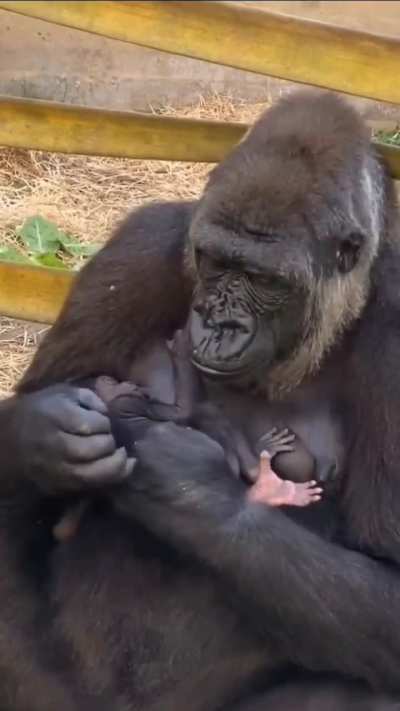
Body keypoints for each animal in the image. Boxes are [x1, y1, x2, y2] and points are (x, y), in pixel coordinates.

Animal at [0, 89, 399, 710]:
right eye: (215, 261)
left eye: (265, 279)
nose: (217, 324)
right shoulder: (143, 245)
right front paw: (45, 433)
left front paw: (188, 488)